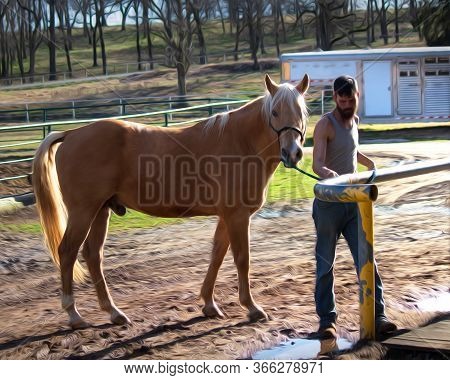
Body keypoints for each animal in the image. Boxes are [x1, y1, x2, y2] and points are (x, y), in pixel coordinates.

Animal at [32, 72, 310, 328]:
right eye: (274, 112)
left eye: (302, 113)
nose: (293, 153)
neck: (241, 142)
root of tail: (72, 133)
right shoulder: (237, 216)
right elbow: (242, 259)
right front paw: (251, 307)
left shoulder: (227, 217)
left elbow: (217, 255)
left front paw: (209, 304)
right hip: (83, 212)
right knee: (68, 252)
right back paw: (74, 314)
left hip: (101, 211)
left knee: (93, 255)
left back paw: (113, 312)